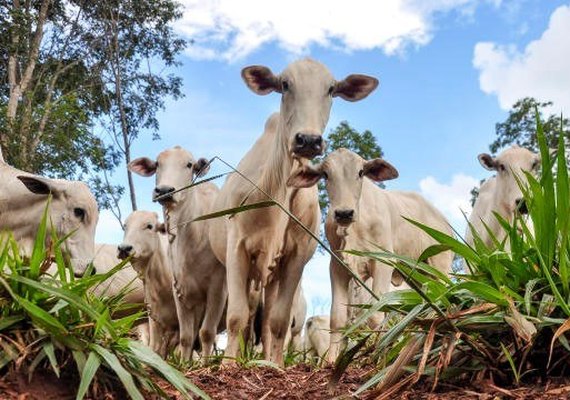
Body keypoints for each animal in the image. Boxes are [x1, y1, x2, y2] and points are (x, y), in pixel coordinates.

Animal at [129, 148, 226, 362]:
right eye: (157, 164)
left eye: (189, 165)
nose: (164, 190)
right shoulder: (179, 290)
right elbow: (186, 336)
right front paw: (185, 364)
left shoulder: (218, 287)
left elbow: (207, 333)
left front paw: (205, 365)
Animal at [209, 58, 378, 366]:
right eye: (285, 84)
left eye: (331, 89)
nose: (308, 140)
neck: (277, 189)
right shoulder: (237, 248)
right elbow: (237, 316)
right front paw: (227, 365)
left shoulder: (297, 256)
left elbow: (278, 320)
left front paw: (275, 365)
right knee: (247, 316)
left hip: (272, 275)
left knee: (266, 322)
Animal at [288, 148, 452, 360]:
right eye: (325, 174)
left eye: (360, 172)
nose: (344, 213)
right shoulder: (337, 267)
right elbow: (337, 318)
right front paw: (331, 361)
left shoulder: (383, 263)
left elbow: (375, 313)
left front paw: (379, 354)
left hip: (440, 264)